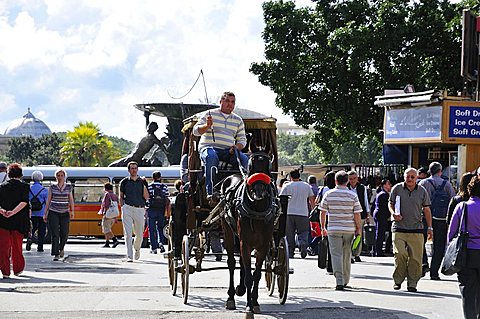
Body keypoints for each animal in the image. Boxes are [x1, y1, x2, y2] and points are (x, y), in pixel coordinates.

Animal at [218, 154, 278, 318]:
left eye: (267, 167)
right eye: (251, 166)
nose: (258, 192)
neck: (257, 209)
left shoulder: (263, 245)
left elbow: (256, 275)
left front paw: (255, 302)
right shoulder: (245, 243)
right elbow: (249, 277)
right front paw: (249, 308)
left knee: (242, 264)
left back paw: (240, 289)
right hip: (228, 231)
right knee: (232, 263)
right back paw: (231, 297)